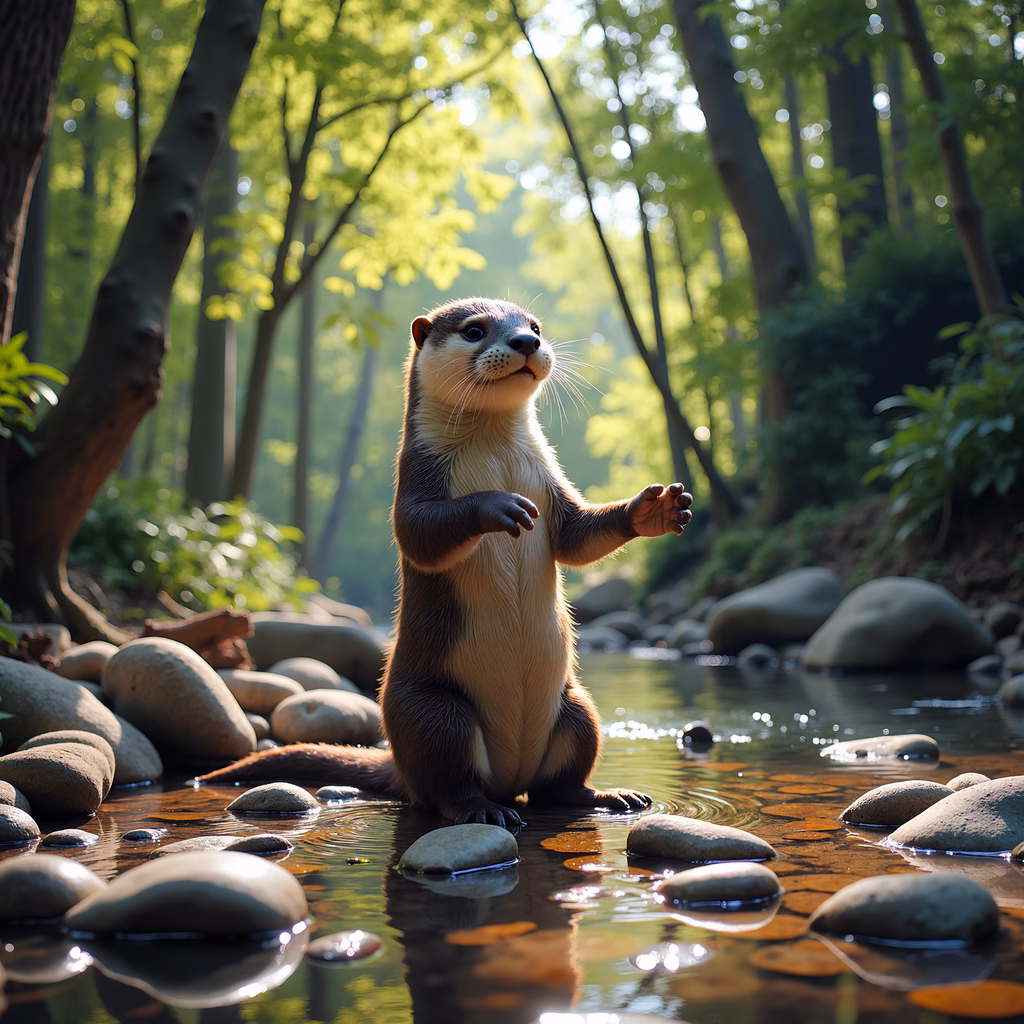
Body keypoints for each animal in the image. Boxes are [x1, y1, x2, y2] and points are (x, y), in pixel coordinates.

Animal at [199, 298, 693, 828]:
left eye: (534, 327)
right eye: (475, 330)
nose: (526, 342)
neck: (497, 455)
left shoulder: (552, 487)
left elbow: (578, 538)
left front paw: (654, 510)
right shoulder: (415, 479)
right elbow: (419, 534)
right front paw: (498, 505)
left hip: (576, 704)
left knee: (557, 781)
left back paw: (607, 796)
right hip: (437, 713)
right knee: (448, 783)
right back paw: (483, 809)